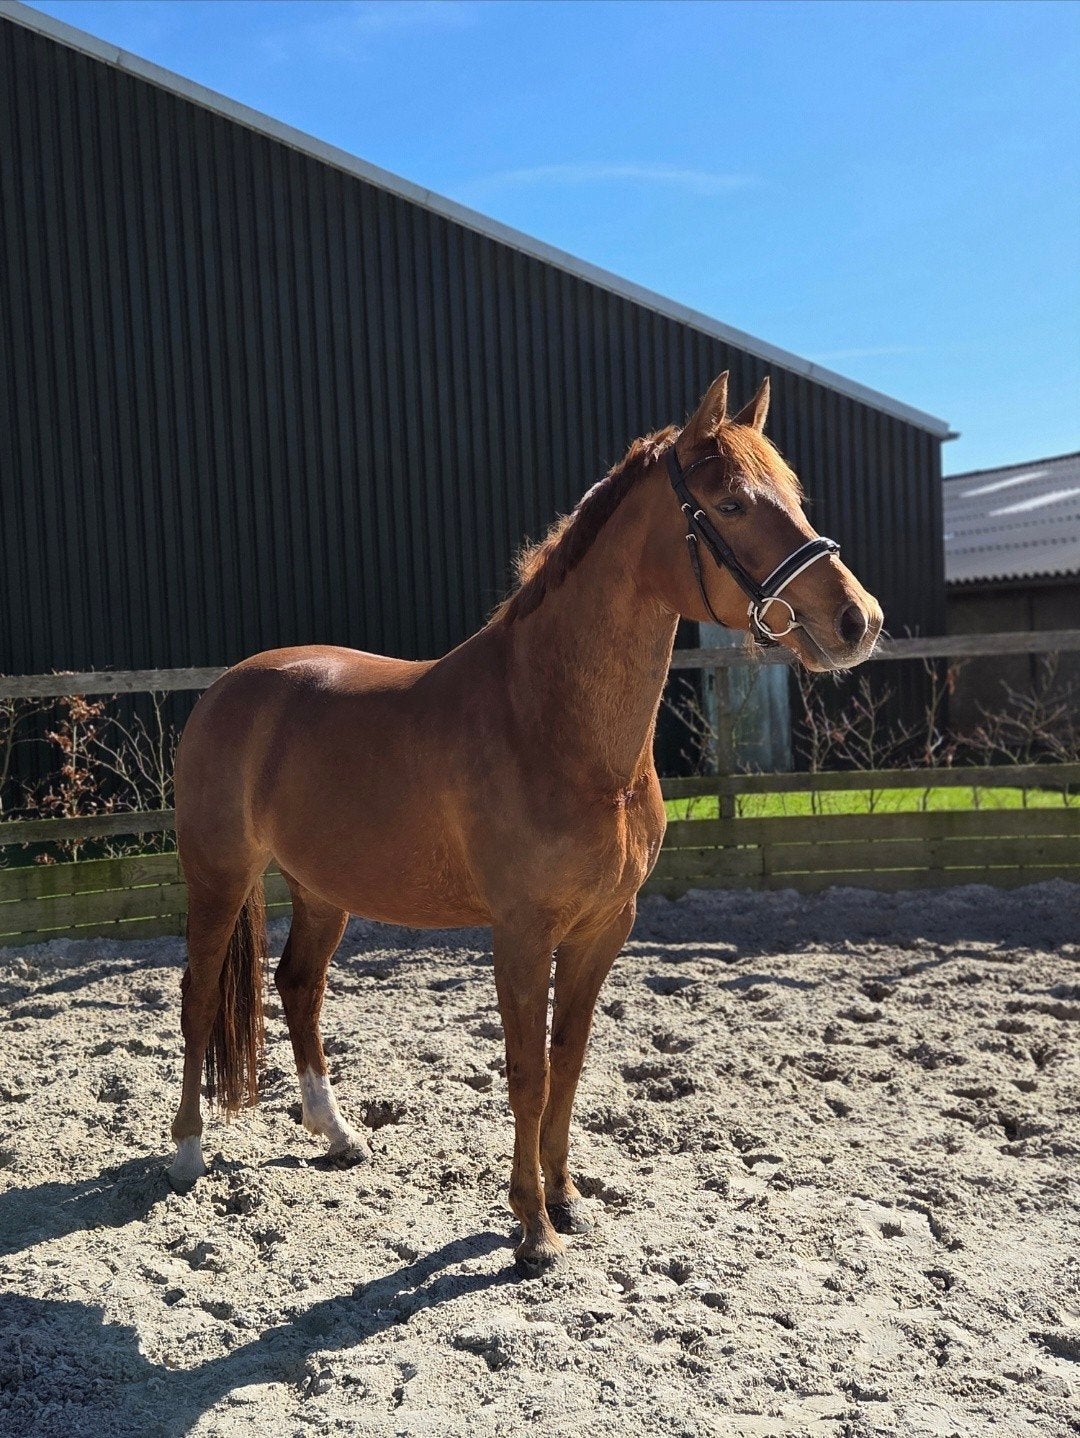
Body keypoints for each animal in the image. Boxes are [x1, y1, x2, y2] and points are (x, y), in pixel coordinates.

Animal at [167, 372, 883, 1275]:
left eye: (792, 496)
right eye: (730, 502)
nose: (859, 622)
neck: (554, 728)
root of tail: (229, 688)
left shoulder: (604, 927)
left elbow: (568, 1063)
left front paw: (568, 1198)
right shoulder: (521, 931)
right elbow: (526, 1072)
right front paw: (532, 1230)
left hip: (322, 888)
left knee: (299, 986)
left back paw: (338, 1136)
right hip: (219, 876)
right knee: (198, 995)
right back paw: (186, 1153)